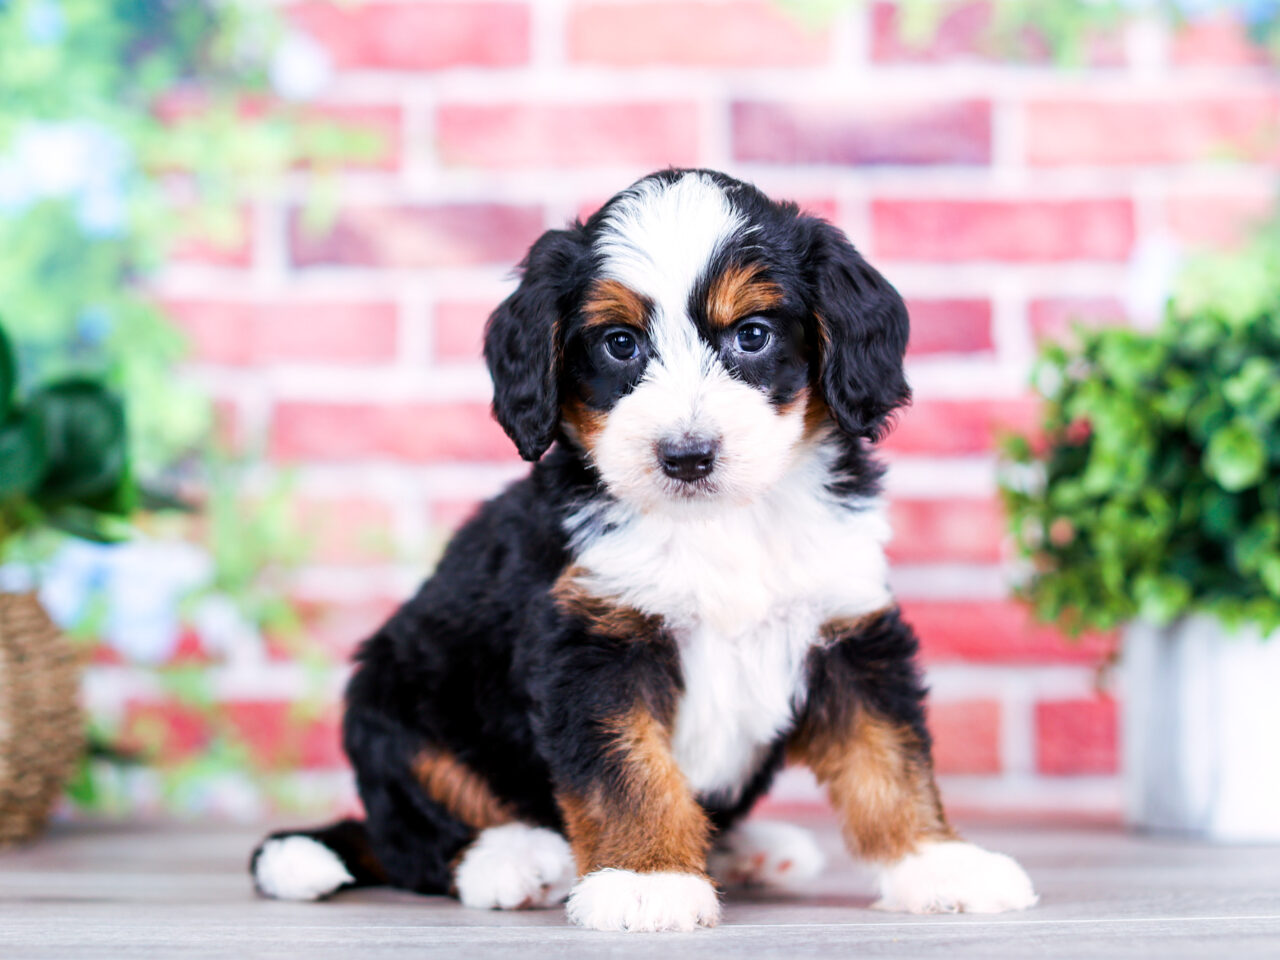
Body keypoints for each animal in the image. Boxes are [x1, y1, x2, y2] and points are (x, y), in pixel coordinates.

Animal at [252, 167, 1039, 931]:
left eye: (752, 335)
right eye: (620, 344)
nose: (686, 456)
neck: (720, 523)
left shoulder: (847, 630)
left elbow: (889, 761)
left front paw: (937, 864)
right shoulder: (594, 645)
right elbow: (628, 774)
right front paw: (647, 879)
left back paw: (749, 848)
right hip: (391, 698)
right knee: (411, 835)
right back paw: (512, 862)